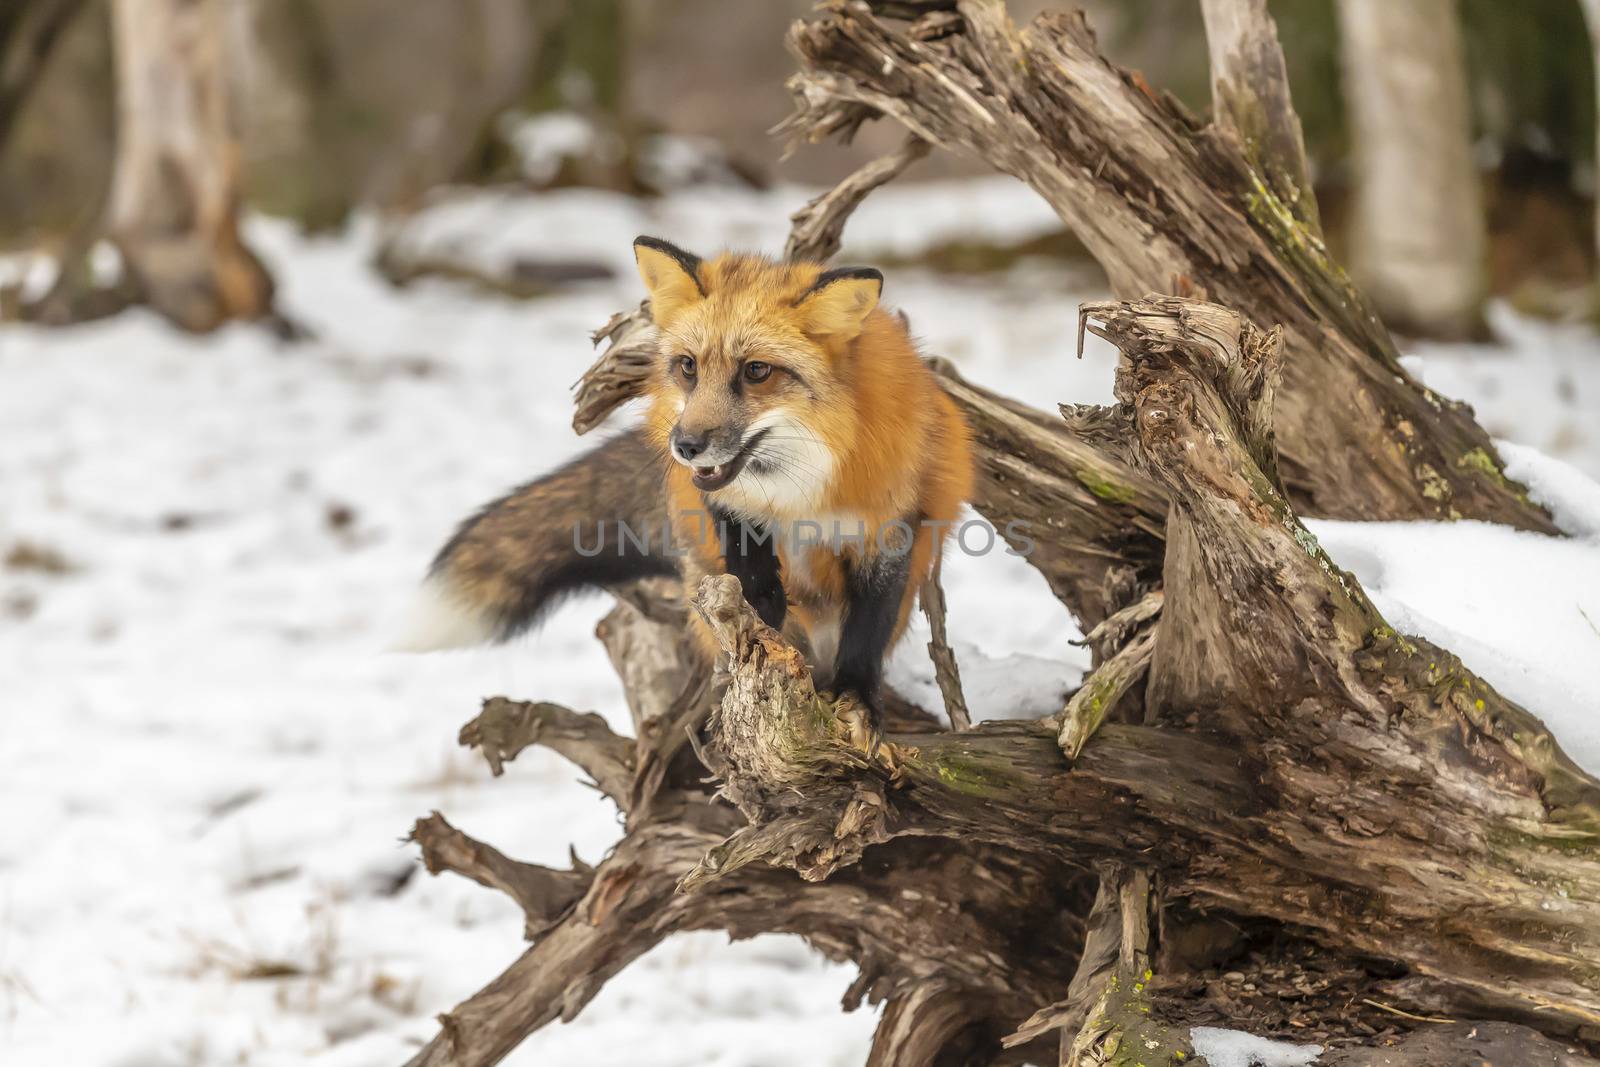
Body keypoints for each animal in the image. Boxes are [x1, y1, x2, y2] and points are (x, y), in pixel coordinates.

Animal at [400, 238, 972, 748]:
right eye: (688, 366)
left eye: (757, 371)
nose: (686, 446)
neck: (798, 491)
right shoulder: (728, 510)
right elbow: (751, 574)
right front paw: (763, 632)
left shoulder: (889, 532)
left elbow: (867, 632)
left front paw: (857, 702)